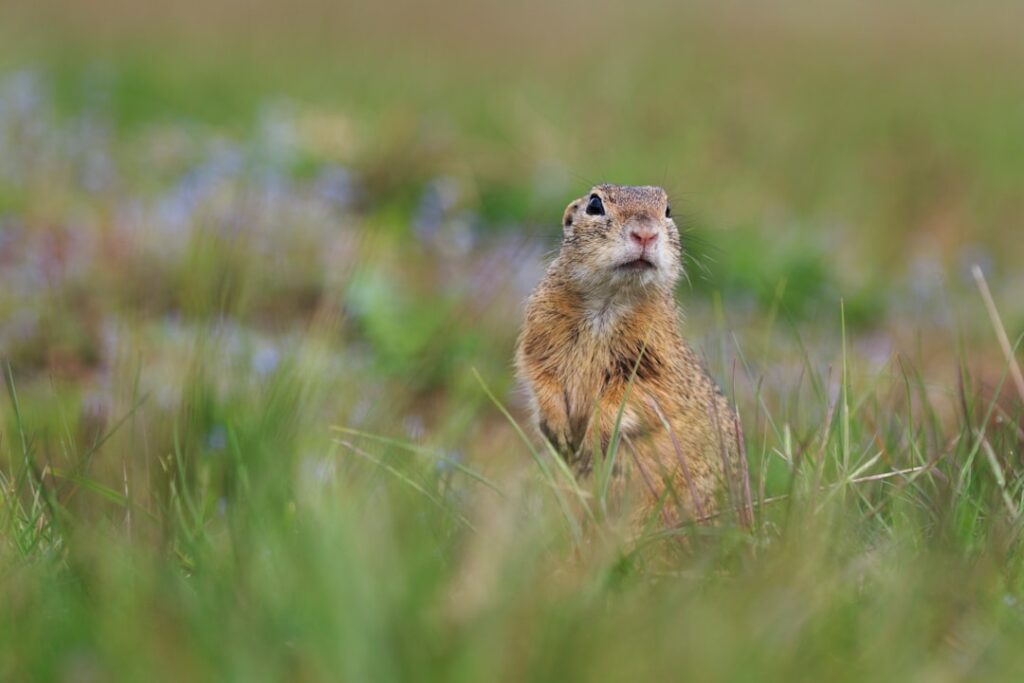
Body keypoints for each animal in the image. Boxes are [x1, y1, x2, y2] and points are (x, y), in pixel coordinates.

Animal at [515, 184, 749, 527]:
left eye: (667, 210)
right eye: (594, 205)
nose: (645, 234)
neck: (609, 300)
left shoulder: (657, 359)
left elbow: (639, 395)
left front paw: (591, 440)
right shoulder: (539, 334)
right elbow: (540, 375)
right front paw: (559, 431)